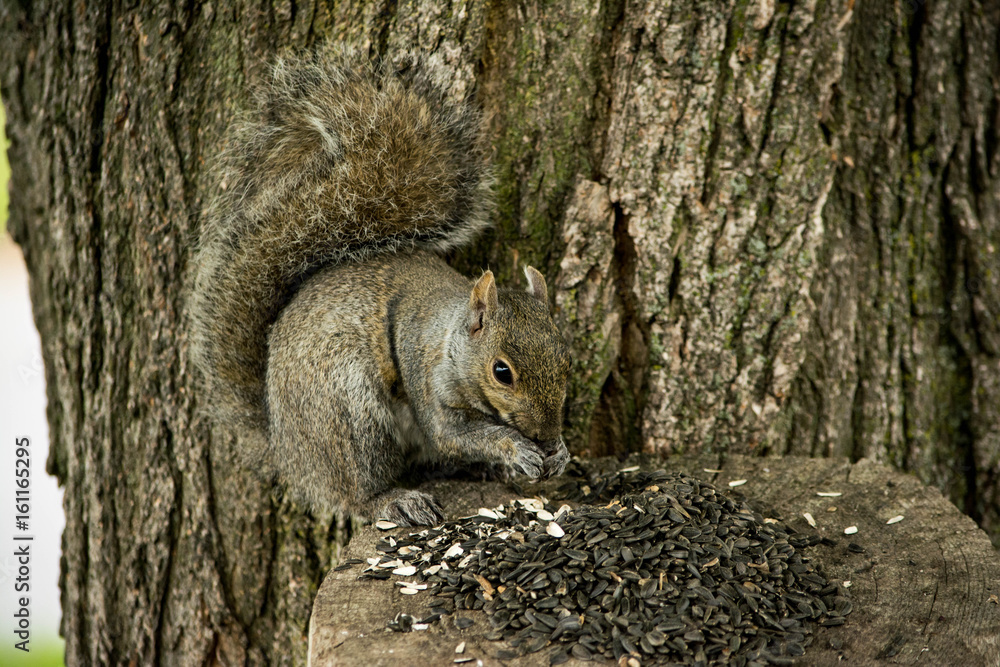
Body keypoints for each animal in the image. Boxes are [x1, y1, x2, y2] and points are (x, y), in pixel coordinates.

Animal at [189, 48, 571, 527]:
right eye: (502, 372)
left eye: (567, 361)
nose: (547, 434)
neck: (451, 337)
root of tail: (286, 451)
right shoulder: (426, 377)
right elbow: (454, 433)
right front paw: (516, 447)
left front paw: (560, 453)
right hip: (348, 411)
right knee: (356, 492)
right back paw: (393, 500)